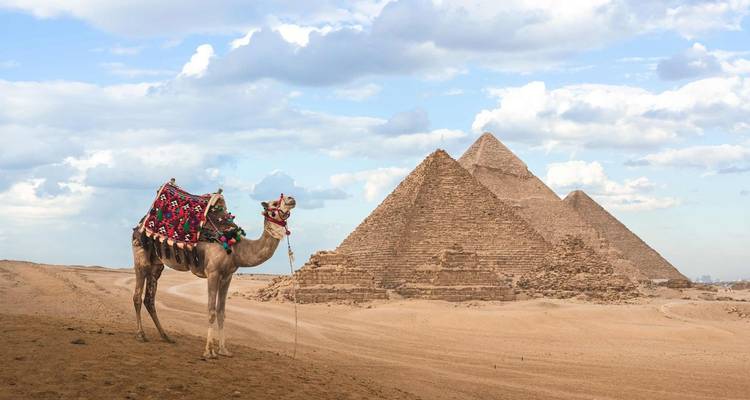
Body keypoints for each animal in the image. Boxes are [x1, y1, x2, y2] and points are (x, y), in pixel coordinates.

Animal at [131, 193, 296, 358]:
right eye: (274, 203)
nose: (291, 199)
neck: (236, 248)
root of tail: (139, 224)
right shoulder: (213, 272)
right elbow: (211, 311)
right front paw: (209, 351)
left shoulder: (227, 276)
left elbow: (221, 312)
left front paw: (223, 350)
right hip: (140, 254)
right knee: (137, 295)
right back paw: (141, 334)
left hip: (156, 264)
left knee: (149, 299)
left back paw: (165, 336)